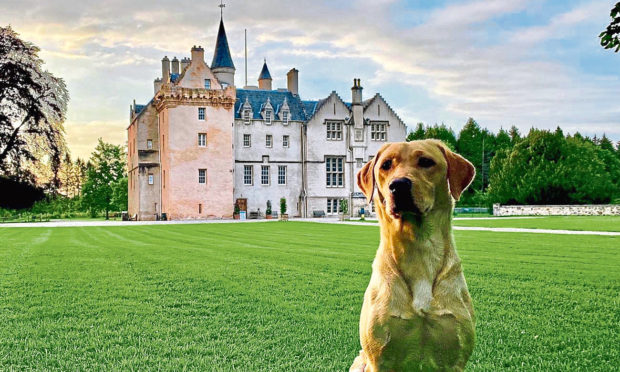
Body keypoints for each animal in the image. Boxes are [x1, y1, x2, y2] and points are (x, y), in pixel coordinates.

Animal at [352, 140, 478, 372]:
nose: (399, 185)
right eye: (386, 165)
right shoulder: (379, 358)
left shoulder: (454, 358)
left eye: (426, 161)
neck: (418, 248)